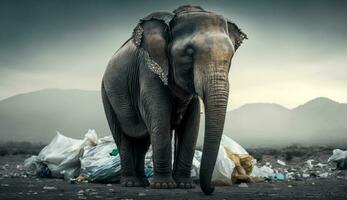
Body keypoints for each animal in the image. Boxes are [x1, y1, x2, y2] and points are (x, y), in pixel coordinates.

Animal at [101, 5, 247, 195]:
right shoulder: (149, 70)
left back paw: (142, 182)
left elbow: (192, 125)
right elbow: (160, 120)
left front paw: (184, 185)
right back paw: (131, 183)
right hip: (107, 94)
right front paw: (164, 186)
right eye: (189, 53)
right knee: (124, 138)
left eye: (231, 56)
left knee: (142, 142)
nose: (213, 187)